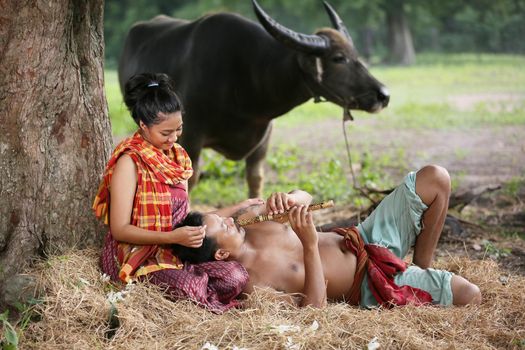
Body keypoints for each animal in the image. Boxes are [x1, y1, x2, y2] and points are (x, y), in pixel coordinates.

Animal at [119, 0, 388, 198]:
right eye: (338, 58)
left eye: (355, 54)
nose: (383, 94)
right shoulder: (191, 134)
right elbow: (190, 179)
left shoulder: (263, 136)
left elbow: (255, 178)